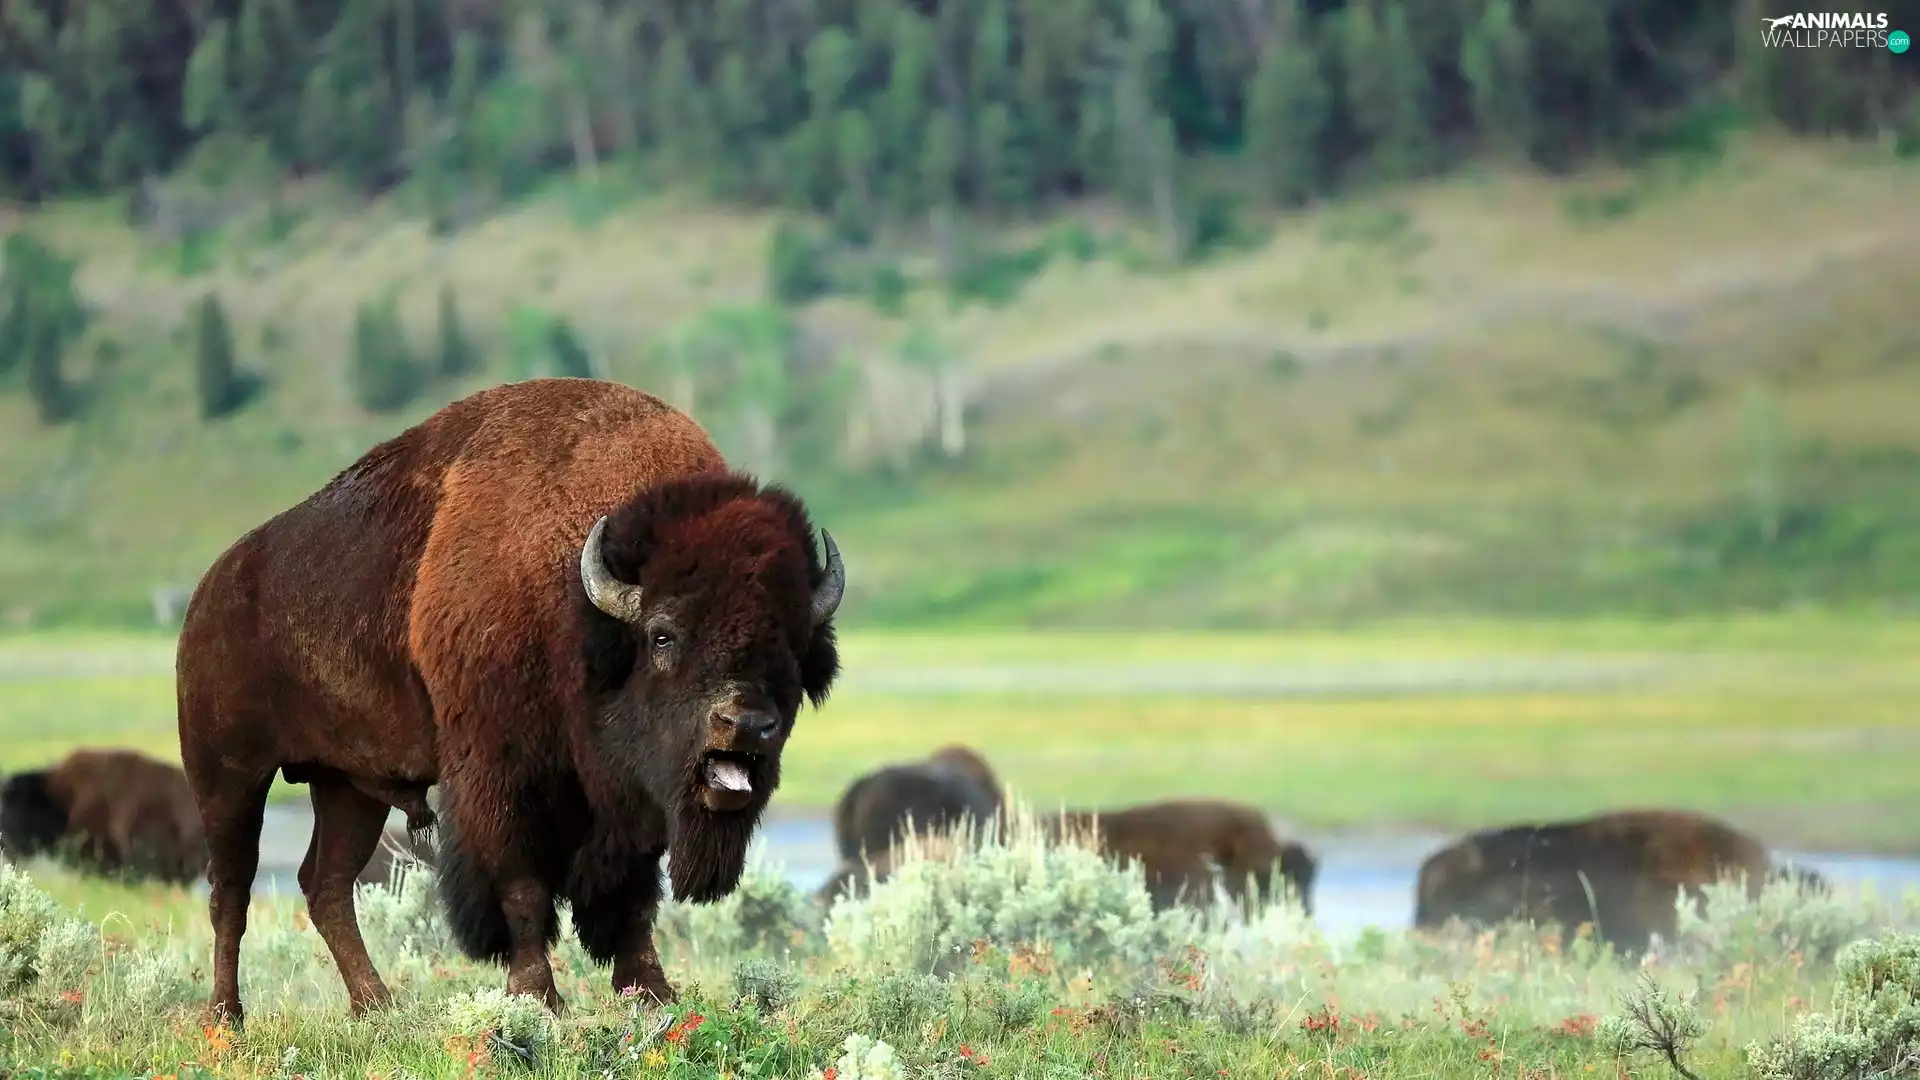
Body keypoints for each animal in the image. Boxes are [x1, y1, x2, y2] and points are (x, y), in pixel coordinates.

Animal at [176, 378, 845, 1025]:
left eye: (793, 646)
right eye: (663, 634)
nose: (746, 723)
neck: (578, 609)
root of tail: (210, 589)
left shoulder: (634, 809)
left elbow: (632, 898)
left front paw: (653, 994)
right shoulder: (500, 778)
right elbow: (521, 884)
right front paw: (537, 996)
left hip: (346, 785)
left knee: (326, 885)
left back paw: (377, 1008)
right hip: (230, 776)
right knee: (231, 890)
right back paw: (227, 1019)